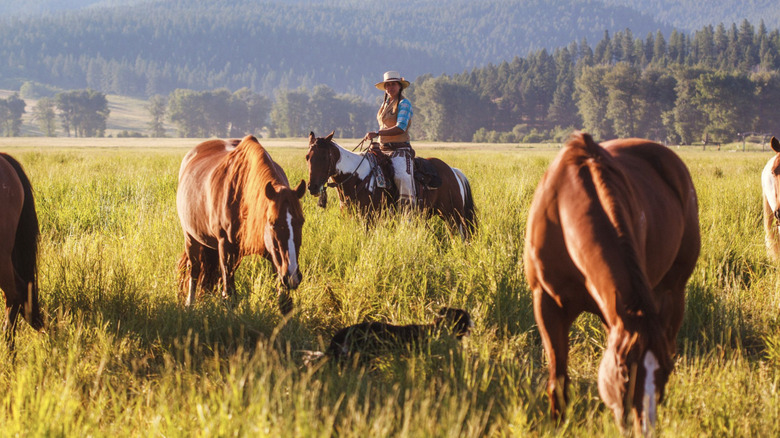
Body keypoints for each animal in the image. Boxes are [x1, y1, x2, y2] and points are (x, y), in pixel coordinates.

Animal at [176, 135, 306, 313]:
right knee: (194, 271)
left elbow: (284, 301)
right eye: (272, 223)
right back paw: (190, 304)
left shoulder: (276, 259)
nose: (293, 275)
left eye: (301, 221)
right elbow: (230, 296)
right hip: (191, 238)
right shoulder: (226, 247)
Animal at [305, 132, 476, 239]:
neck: (357, 177)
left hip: (453, 215)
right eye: (307, 157)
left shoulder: (370, 219)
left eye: (324, 157)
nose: (312, 187)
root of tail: (452, 171)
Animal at [523, 133, 700, 435]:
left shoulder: (615, 312)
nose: (642, 428)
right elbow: (557, 377)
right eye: (623, 369)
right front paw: (558, 424)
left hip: (673, 293)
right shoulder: (546, 303)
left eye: (666, 370)